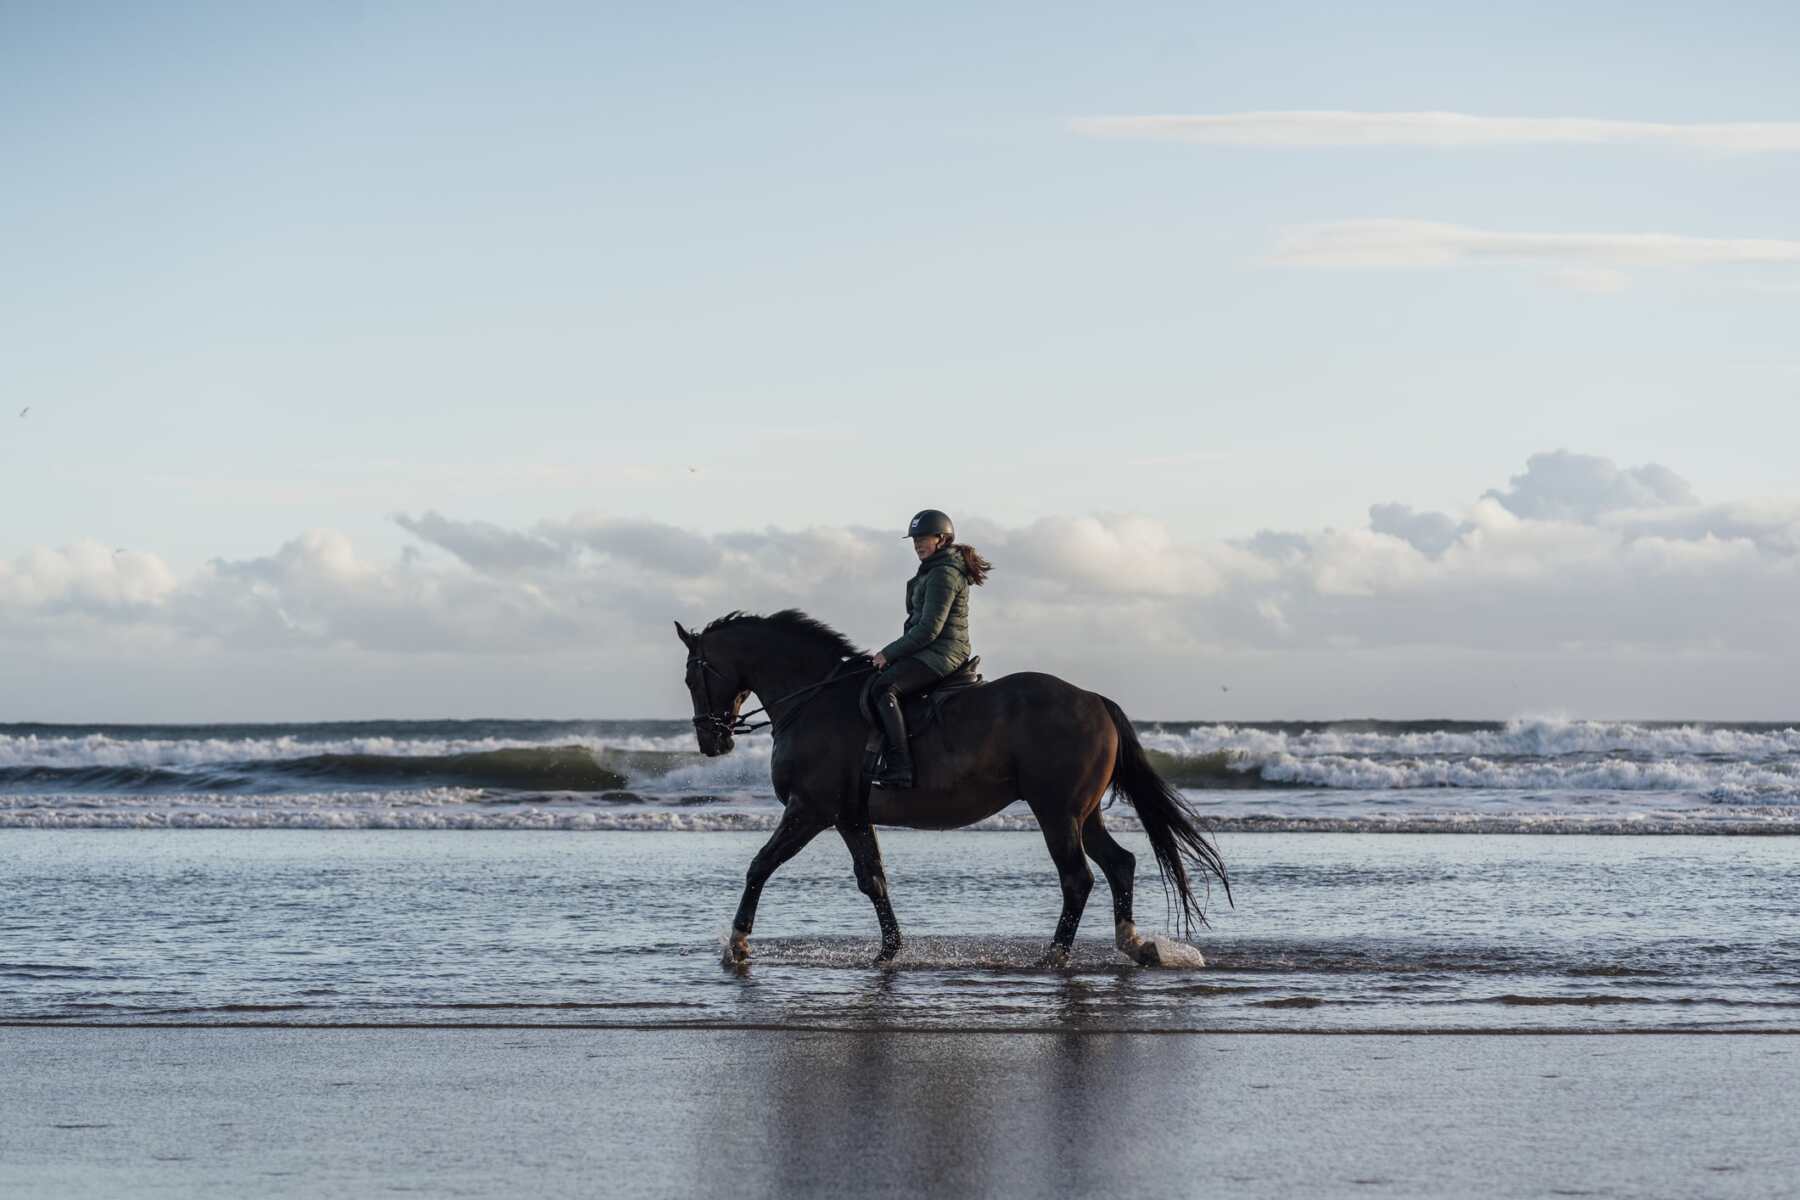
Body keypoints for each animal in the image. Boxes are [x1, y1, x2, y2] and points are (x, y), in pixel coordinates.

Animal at [675, 610, 1230, 969]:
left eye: (691, 676)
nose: (710, 740)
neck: (814, 699)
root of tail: (1094, 699)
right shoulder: (850, 816)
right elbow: (873, 879)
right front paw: (889, 952)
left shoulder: (811, 809)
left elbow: (760, 865)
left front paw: (737, 944)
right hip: (1082, 812)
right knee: (1119, 864)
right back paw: (1135, 944)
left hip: (1056, 812)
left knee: (1078, 878)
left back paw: (1054, 955)